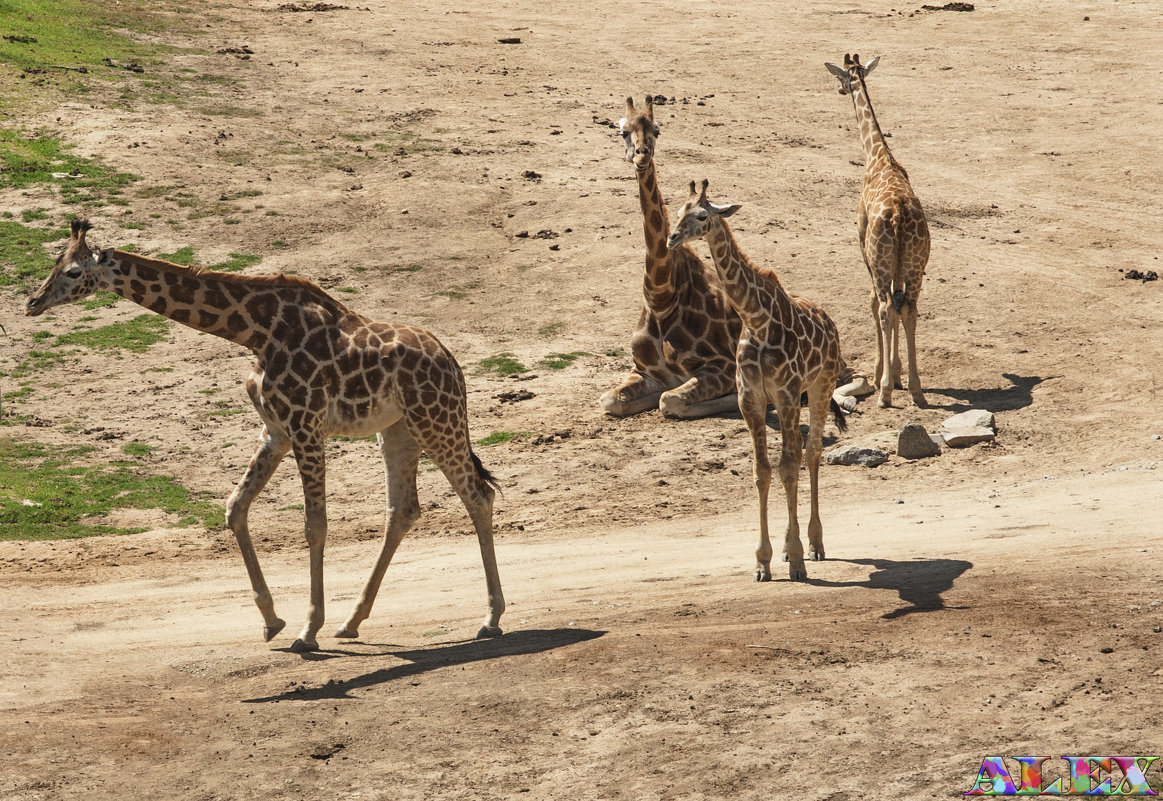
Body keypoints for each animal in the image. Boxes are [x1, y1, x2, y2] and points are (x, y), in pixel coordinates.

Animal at [25, 217, 507, 651]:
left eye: (73, 272)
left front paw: (307, 630)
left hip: (435, 419)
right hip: (398, 429)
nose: (32, 302)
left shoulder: (306, 425)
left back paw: (491, 618)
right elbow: (235, 508)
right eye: (54, 261)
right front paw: (272, 620)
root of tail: (453, 363)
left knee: (477, 495)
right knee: (403, 510)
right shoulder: (276, 430)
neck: (256, 330)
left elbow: (315, 525)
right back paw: (352, 622)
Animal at [600, 95, 744, 416]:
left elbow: (671, 400)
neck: (661, 297)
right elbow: (611, 400)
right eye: (623, 132)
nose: (642, 155)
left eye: (657, 130)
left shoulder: (722, 364)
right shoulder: (644, 370)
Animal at [669, 181, 851, 581]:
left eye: (702, 215)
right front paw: (763, 561)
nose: (672, 238)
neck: (756, 320)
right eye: (676, 212)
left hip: (820, 386)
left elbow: (787, 467)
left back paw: (815, 544)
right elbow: (762, 472)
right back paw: (788, 547)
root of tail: (829, 322)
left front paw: (797, 560)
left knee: (811, 452)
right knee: (797, 454)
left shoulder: (784, 394)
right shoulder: (750, 399)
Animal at [823, 51, 930, 406]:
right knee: (908, 307)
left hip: (881, 259)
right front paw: (896, 374)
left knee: (884, 306)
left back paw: (884, 392)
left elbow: (873, 302)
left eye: (840, 76)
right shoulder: (898, 266)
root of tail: (898, 216)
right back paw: (916, 389)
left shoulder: (862, 244)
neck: (878, 156)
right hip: (915, 265)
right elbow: (898, 306)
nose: (841, 89)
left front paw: (881, 375)